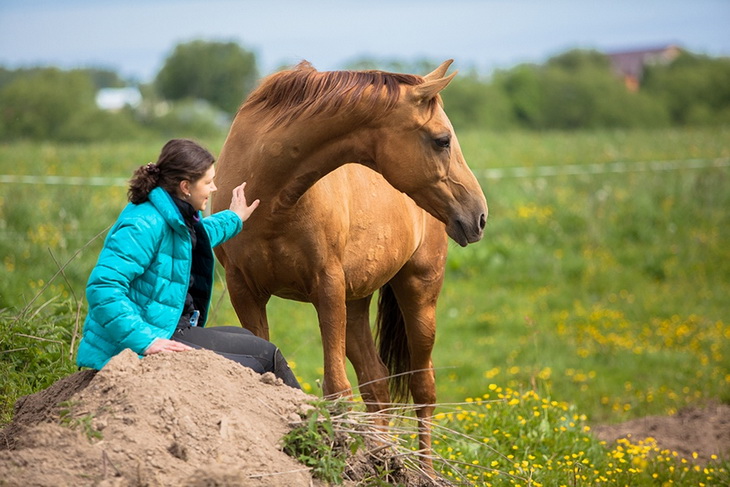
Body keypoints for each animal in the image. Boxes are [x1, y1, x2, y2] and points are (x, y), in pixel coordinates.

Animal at [209, 60, 484, 466]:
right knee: (378, 386)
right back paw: (382, 460)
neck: (269, 192)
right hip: (354, 304)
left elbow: (337, 391)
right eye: (442, 140)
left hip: (418, 294)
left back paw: (423, 471)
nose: (478, 215)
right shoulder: (246, 291)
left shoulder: (327, 287)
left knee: (423, 388)